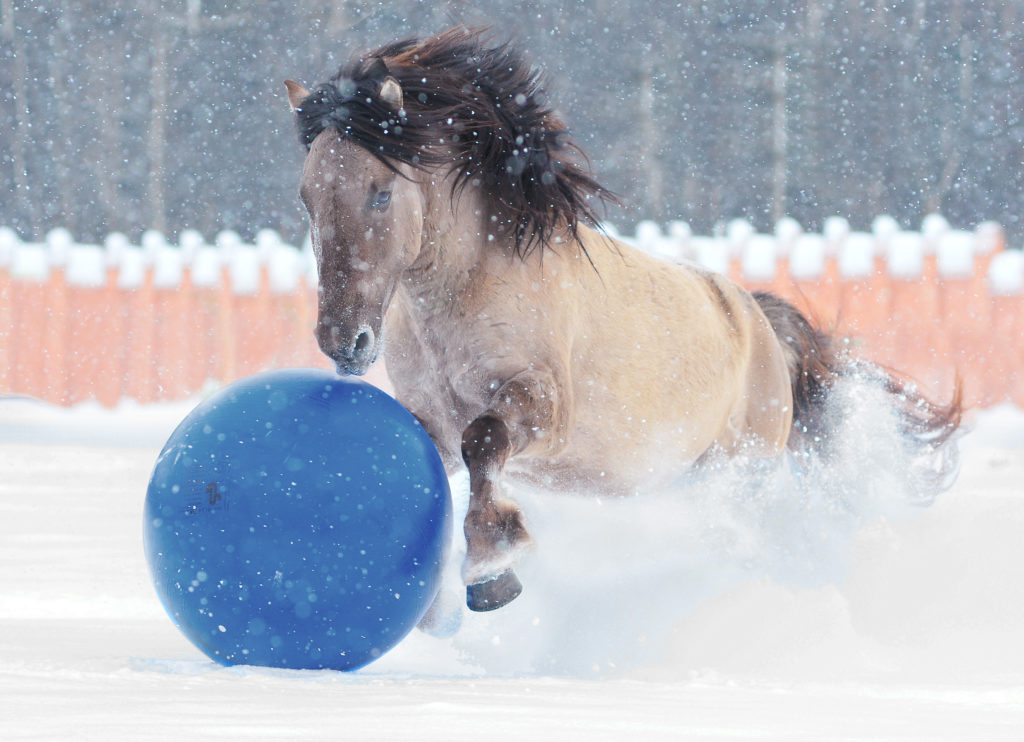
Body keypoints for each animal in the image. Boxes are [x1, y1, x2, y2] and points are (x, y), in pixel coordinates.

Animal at [286, 27, 958, 618]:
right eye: (307, 196)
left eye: (379, 191)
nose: (344, 341)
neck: (463, 296)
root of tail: (756, 320)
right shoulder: (433, 423)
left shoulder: (542, 408)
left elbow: (485, 441)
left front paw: (492, 570)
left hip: (741, 474)